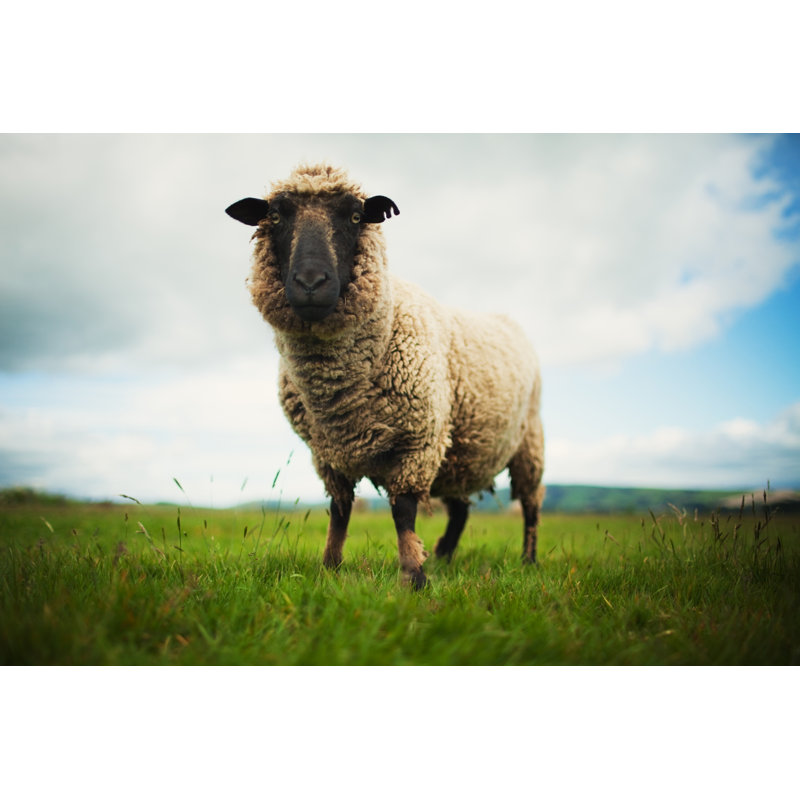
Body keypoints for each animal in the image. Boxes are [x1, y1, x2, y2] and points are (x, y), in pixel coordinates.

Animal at [226, 163, 544, 589]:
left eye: (356, 217)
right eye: (275, 216)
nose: (310, 283)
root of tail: (507, 319)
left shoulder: (418, 441)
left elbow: (403, 511)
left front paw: (413, 576)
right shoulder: (328, 454)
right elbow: (340, 510)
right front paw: (330, 567)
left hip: (527, 443)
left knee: (530, 505)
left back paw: (528, 559)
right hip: (458, 449)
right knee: (460, 509)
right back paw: (443, 556)